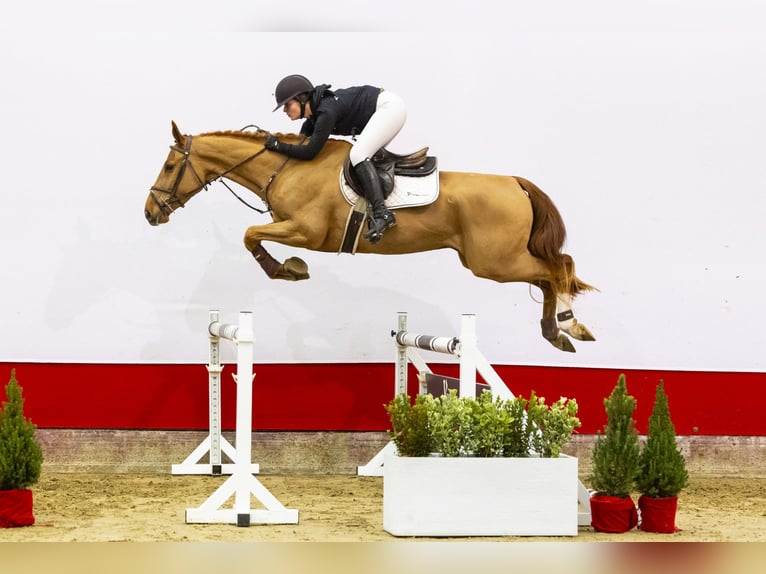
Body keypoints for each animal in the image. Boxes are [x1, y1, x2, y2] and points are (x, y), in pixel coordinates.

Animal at [146, 121, 600, 354]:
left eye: (168, 167)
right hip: (494, 261)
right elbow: (252, 235)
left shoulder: (307, 231)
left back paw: (571, 326)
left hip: (494, 262)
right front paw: (290, 269)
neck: (288, 166)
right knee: (549, 274)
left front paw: (288, 269)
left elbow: (249, 235)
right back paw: (554, 333)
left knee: (559, 267)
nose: (150, 213)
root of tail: (516, 183)